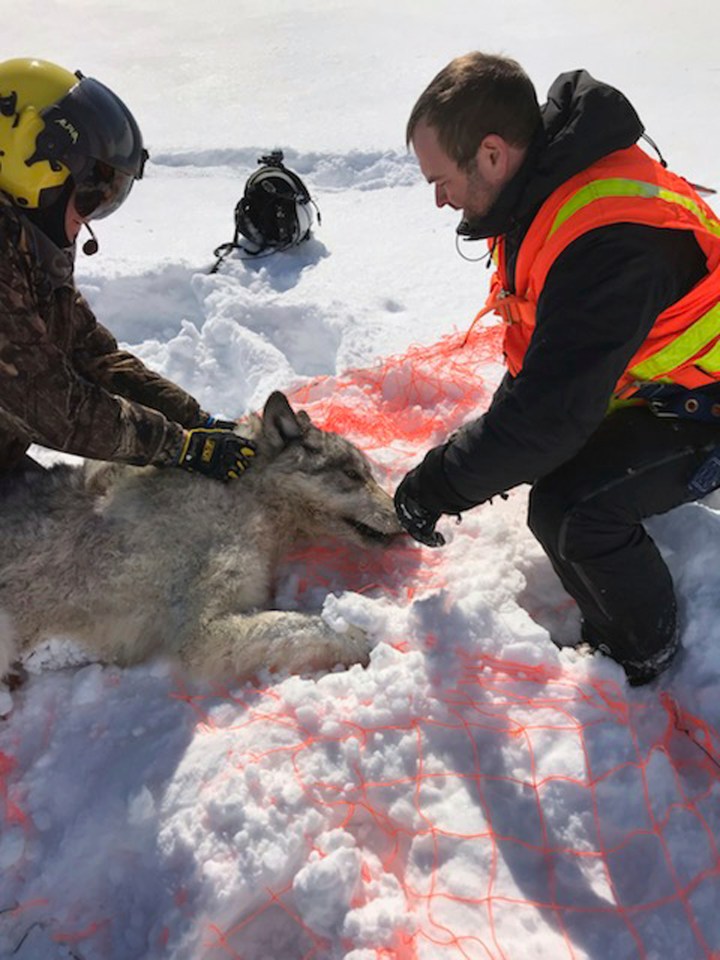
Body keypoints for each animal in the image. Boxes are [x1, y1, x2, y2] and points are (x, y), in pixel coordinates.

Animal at [0, 390, 402, 684]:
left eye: (367, 473)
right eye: (352, 474)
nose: (404, 515)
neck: (249, 497)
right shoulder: (200, 630)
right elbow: (305, 623)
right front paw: (360, 639)